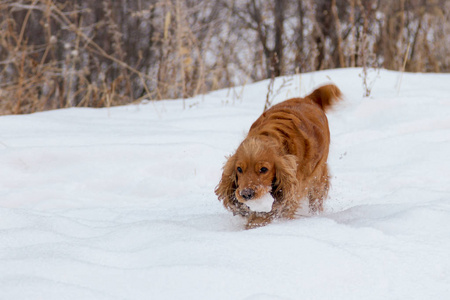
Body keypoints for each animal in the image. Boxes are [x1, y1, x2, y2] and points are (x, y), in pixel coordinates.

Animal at [215, 83, 342, 229]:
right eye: (239, 169)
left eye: (264, 169)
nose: (246, 194)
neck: (268, 135)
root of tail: (308, 99)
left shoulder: (292, 191)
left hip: (318, 177)